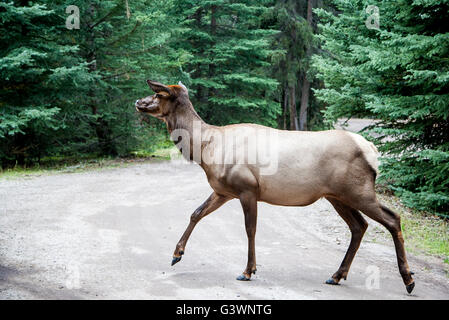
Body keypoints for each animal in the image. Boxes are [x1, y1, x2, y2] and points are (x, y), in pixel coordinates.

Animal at [135, 79, 414, 292]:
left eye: (158, 93)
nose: (138, 101)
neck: (206, 150)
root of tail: (373, 150)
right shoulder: (223, 191)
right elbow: (196, 213)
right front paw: (176, 254)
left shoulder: (247, 188)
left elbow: (250, 229)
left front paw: (248, 271)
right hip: (336, 195)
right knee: (359, 226)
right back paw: (336, 275)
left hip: (358, 190)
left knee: (392, 218)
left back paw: (408, 279)